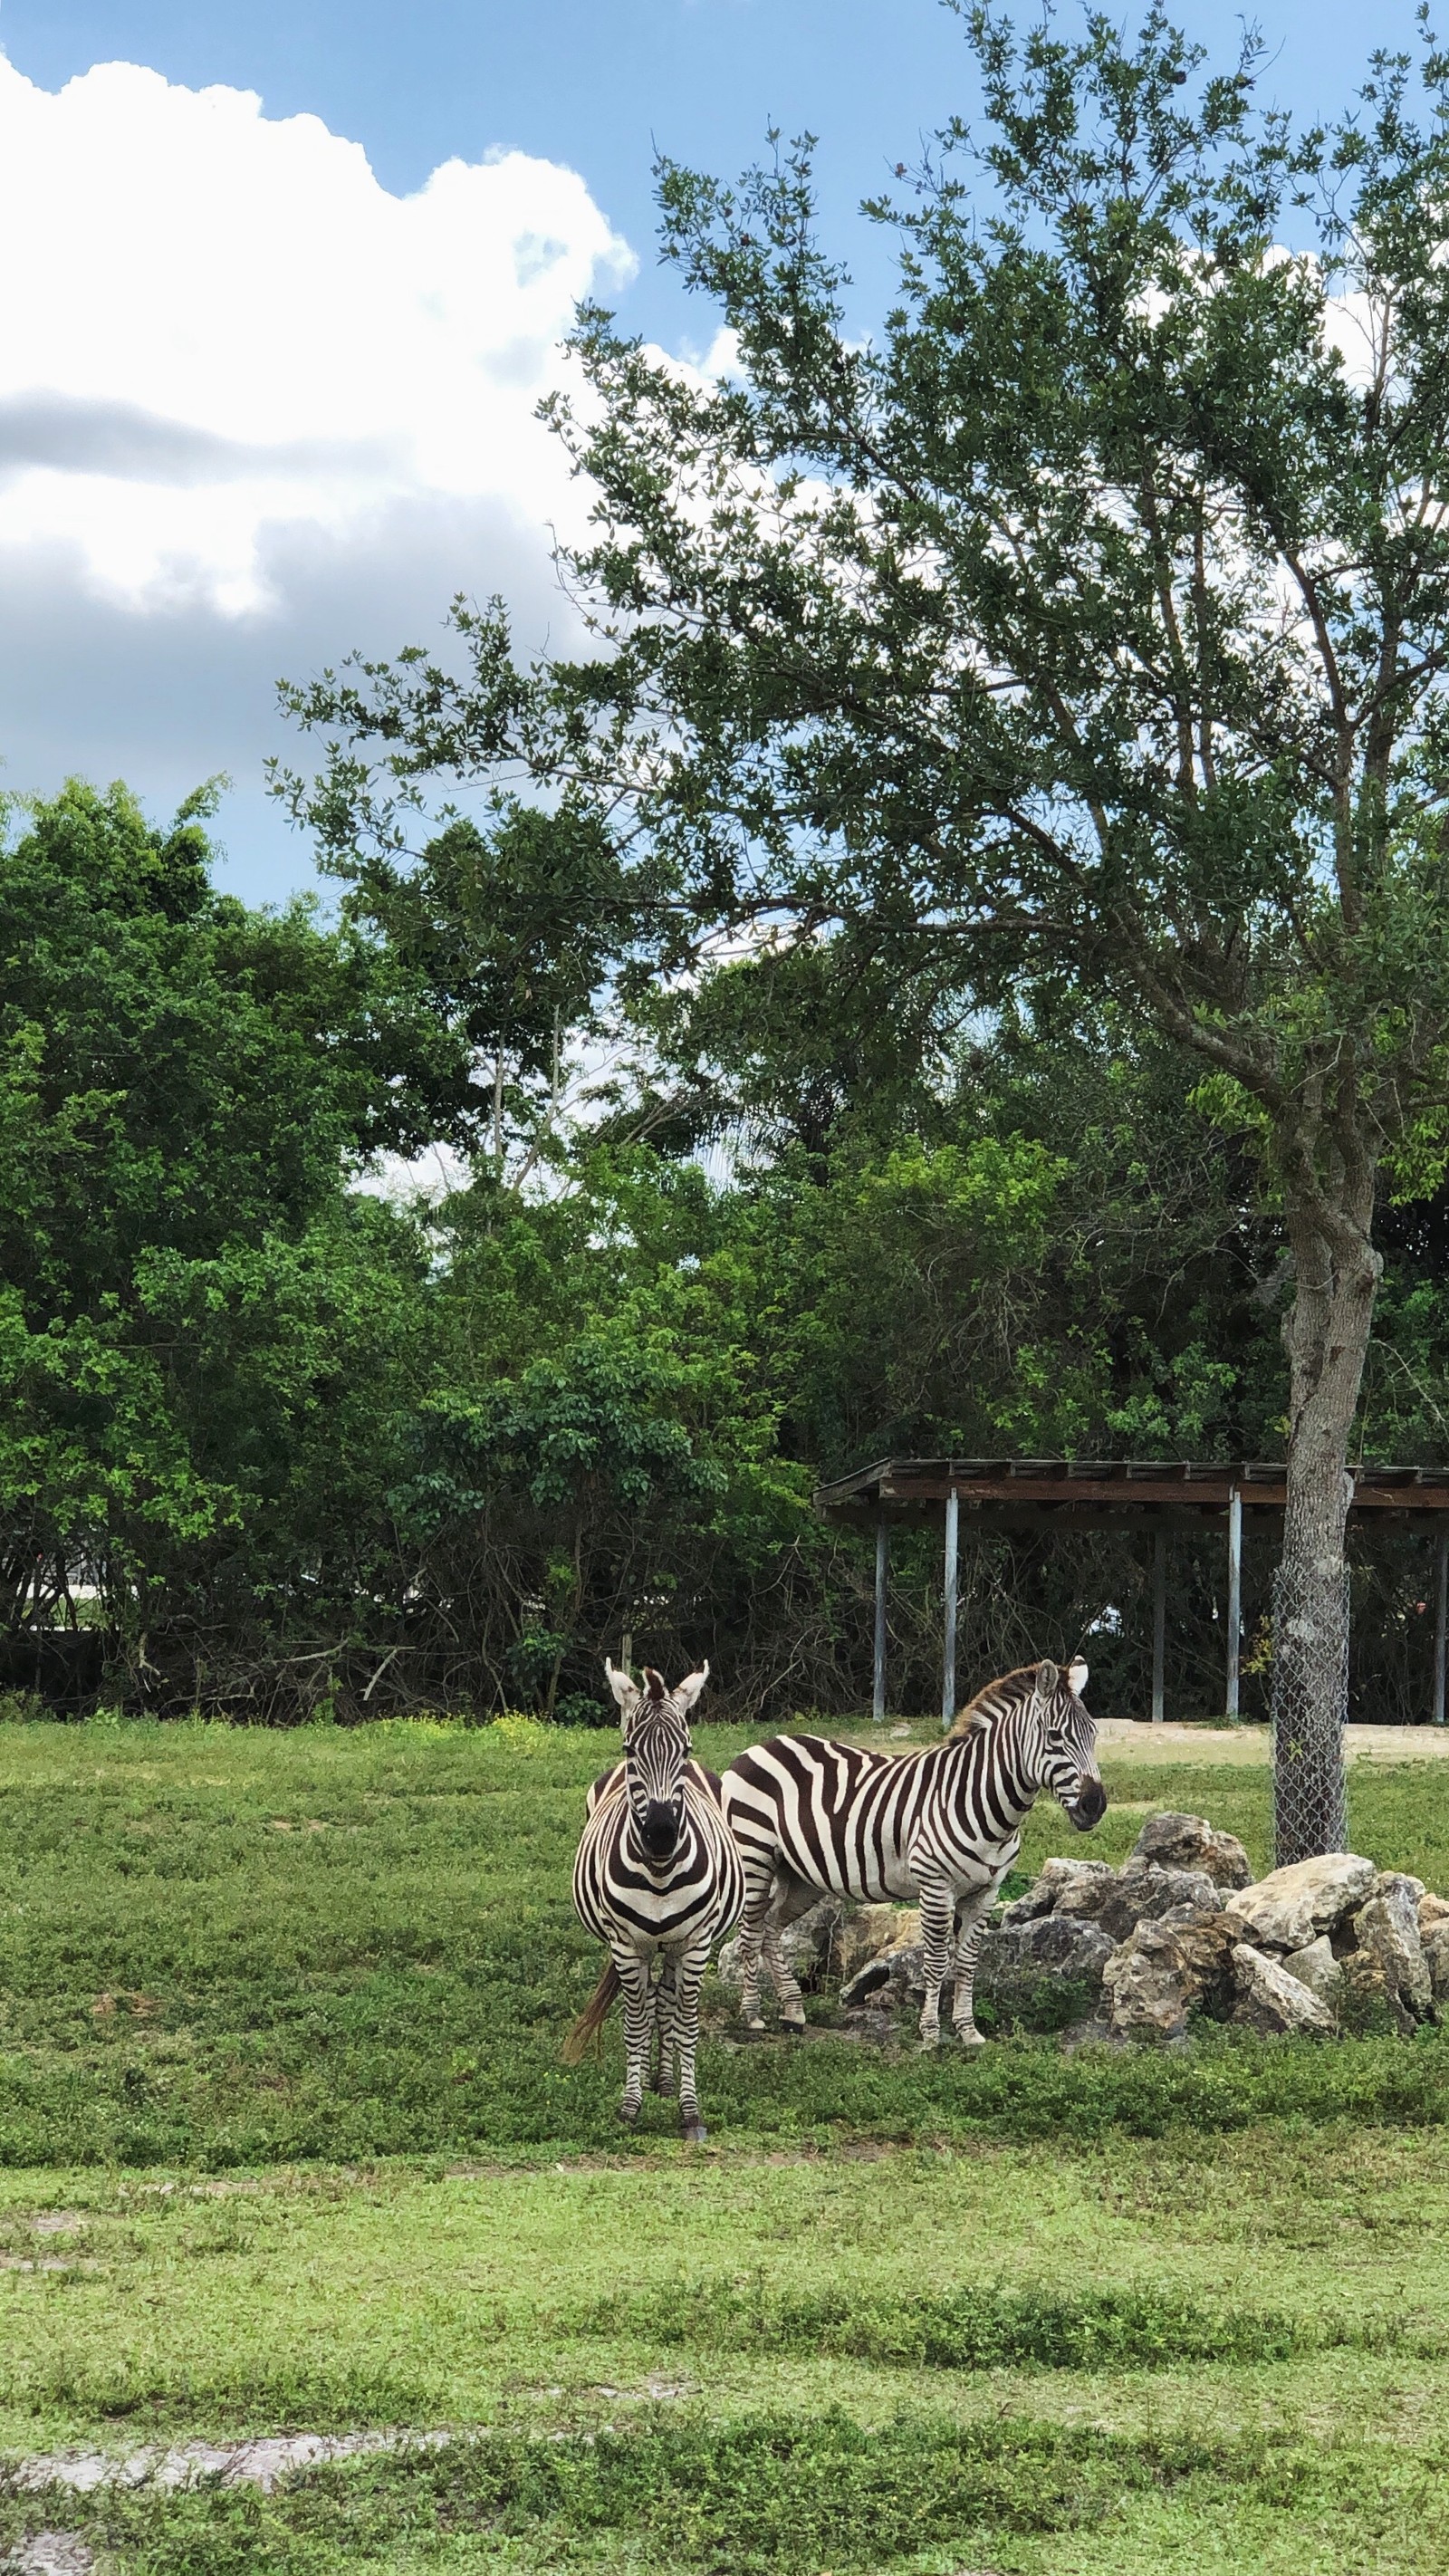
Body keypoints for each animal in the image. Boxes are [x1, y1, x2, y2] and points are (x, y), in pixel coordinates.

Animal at [561, 1658, 741, 2143]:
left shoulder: (696, 1944)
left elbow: (687, 2022)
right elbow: (635, 2021)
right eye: (630, 1751)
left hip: (678, 1946)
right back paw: (650, 2079)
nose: (661, 1836)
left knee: (667, 2001)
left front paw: (690, 2111)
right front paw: (630, 2105)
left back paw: (664, 2080)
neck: (659, 1872)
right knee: (651, 2002)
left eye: (685, 1750)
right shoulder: (626, 1946)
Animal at [720, 1668, 1107, 2050]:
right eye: (1055, 1737)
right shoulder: (935, 1885)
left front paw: (968, 2032)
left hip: (801, 1875)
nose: (1095, 1806)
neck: (981, 1800)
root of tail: (758, 1747)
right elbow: (935, 1961)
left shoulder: (986, 1892)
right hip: (754, 1856)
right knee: (750, 1932)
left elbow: (967, 1962)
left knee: (770, 1928)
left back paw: (793, 2012)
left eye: (1094, 1734)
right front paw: (931, 2034)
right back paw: (752, 2015)